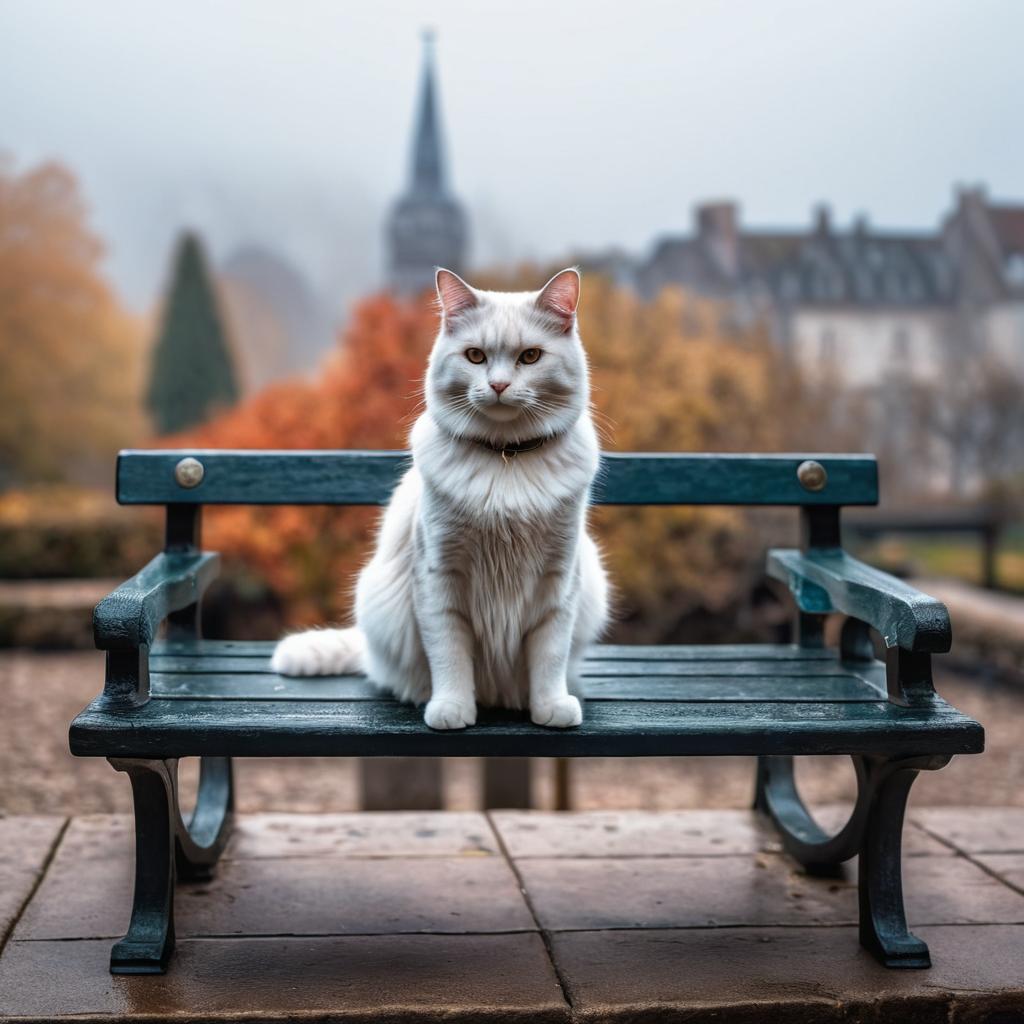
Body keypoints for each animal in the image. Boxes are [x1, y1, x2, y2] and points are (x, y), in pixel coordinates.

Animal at [270, 266, 606, 729]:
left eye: (530, 357)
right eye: (476, 357)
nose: (498, 384)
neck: (505, 460)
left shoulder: (559, 581)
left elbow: (550, 655)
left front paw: (549, 707)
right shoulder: (439, 578)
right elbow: (449, 656)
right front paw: (451, 709)